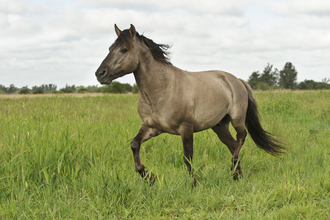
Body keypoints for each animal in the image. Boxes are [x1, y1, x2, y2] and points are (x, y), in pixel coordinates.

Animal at [94, 24, 284, 185]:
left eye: (123, 49)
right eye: (110, 49)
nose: (100, 74)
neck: (162, 89)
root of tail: (236, 80)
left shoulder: (186, 128)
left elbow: (188, 157)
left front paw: (194, 184)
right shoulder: (151, 127)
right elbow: (134, 144)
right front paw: (149, 177)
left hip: (237, 119)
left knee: (241, 137)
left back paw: (234, 167)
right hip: (219, 126)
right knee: (232, 144)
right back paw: (237, 175)